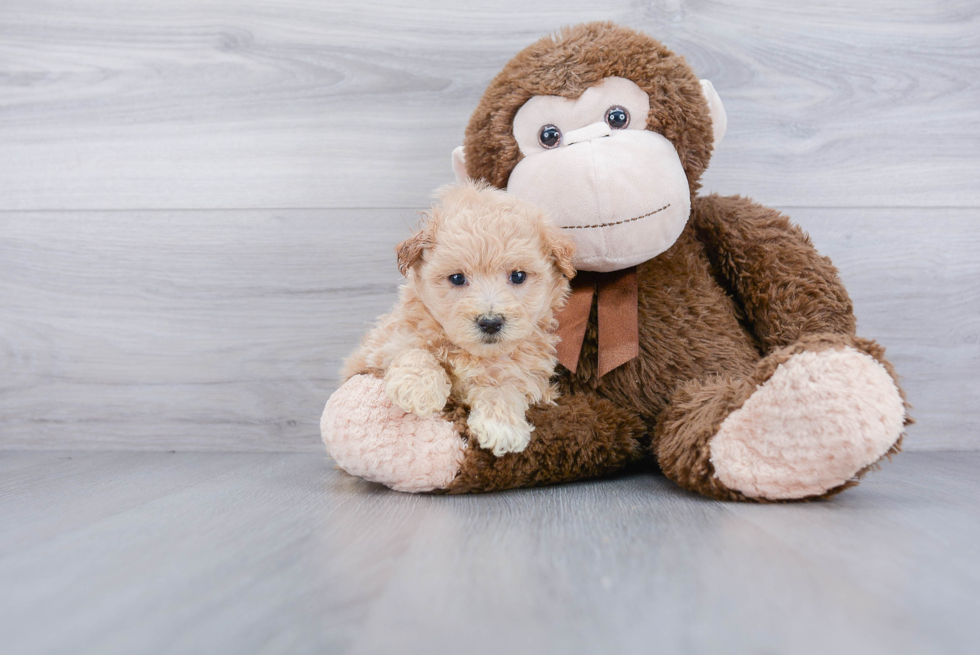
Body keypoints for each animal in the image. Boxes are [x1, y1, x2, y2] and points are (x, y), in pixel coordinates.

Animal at [342, 179, 576, 456]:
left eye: (518, 276)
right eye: (457, 278)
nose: (490, 322)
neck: (472, 354)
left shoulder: (532, 378)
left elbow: (505, 385)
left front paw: (501, 425)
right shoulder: (379, 347)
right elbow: (412, 347)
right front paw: (418, 388)